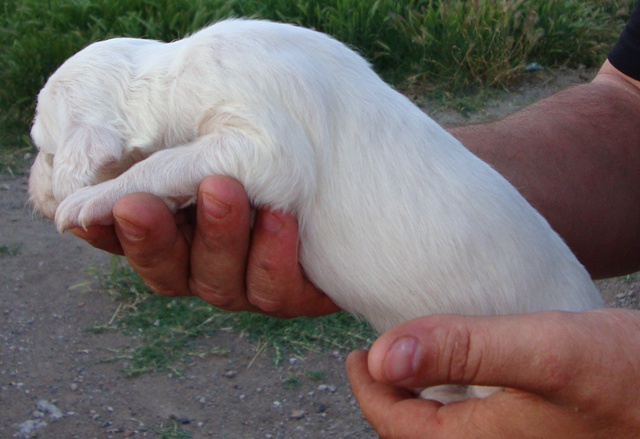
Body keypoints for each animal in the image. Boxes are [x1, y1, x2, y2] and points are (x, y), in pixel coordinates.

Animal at [28, 18, 600, 404]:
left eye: (42, 147)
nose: (29, 193)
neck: (172, 71)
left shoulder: (265, 145)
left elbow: (166, 161)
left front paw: (88, 197)